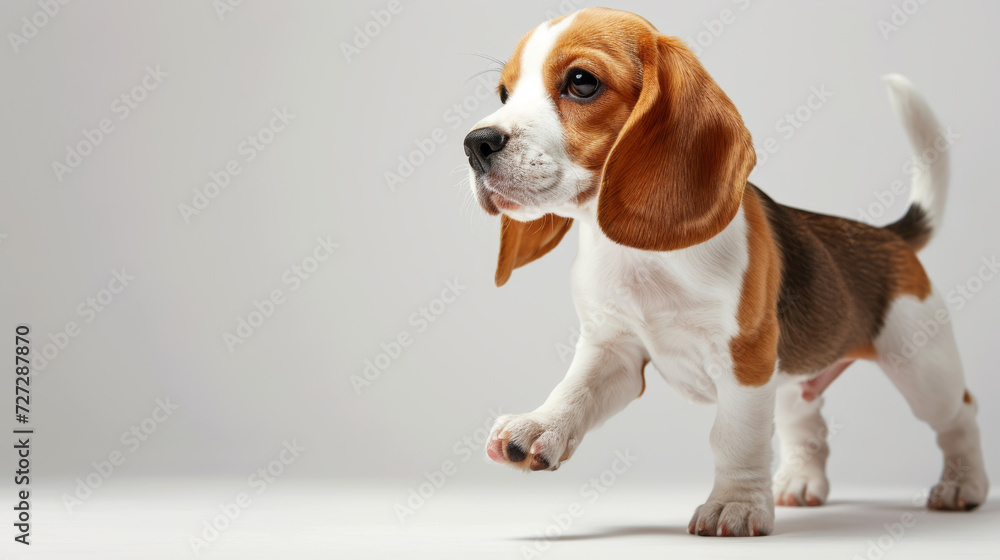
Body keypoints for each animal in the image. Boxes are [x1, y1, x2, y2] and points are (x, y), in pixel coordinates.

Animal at [462, 6, 992, 536]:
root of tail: (891, 236)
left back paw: (963, 484)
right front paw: (541, 426)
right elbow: (575, 390)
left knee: (960, 414)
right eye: (505, 94)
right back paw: (801, 481)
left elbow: (734, 437)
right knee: (807, 421)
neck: (645, 256)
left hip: (921, 364)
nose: (475, 144)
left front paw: (735, 504)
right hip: (794, 373)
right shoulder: (614, 349)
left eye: (581, 82)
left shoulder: (747, 359)